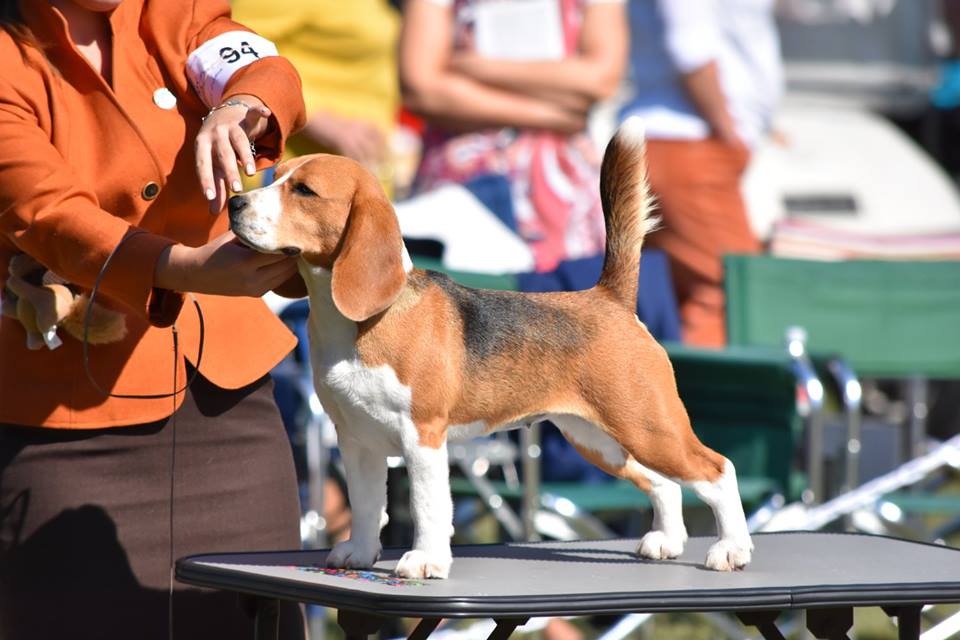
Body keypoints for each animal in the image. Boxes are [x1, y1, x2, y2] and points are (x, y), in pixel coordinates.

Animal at [229, 120, 752, 580]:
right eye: (274, 177)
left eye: (304, 191)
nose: (234, 202)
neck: (359, 322)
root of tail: (608, 298)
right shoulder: (356, 439)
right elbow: (366, 504)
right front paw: (358, 552)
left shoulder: (422, 436)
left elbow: (427, 506)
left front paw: (425, 562)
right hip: (600, 439)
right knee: (663, 482)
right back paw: (668, 541)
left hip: (648, 427)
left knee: (718, 469)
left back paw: (732, 549)